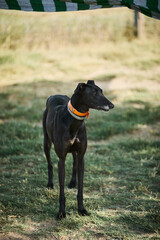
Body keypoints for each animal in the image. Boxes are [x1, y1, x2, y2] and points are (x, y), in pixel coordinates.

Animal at [42, 79, 114, 218]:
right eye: (94, 93)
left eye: (101, 91)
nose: (112, 105)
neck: (73, 121)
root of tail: (54, 95)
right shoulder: (62, 159)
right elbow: (61, 191)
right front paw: (61, 213)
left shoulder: (81, 156)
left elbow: (80, 188)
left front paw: (81, 209)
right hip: (46, 142)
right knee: (49, 163)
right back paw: (50, 184)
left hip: (74, 151)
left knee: (74, 162)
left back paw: (72, 182)